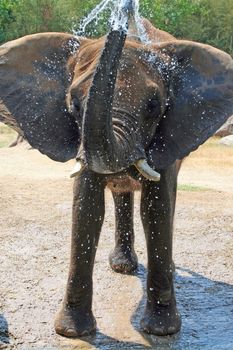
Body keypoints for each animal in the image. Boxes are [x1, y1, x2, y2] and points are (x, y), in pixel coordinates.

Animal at [0, 11, 233, 336]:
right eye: (74, 104)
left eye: (154, 106)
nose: (124, 12)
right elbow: (87, 206)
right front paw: (72, 332)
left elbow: (156, 209)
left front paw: (161, 331)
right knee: (121, 194)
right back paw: (122, 266)